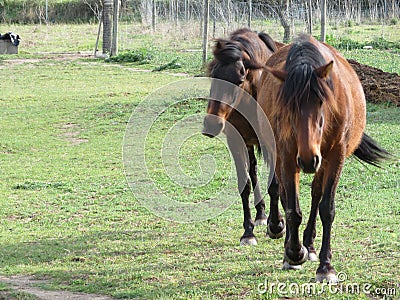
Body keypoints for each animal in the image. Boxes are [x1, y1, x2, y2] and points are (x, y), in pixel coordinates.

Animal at [203, 28, 284, 245]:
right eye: (212, 76)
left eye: (239, 79)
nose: (211, 124)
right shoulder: (236, 141)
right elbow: (244, 184)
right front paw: (248, 232)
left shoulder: (272, 143)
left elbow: (275, 184)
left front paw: (276, 226)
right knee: (254, 171)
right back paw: (261, 214)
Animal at [258, 34, 390, 282]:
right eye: (288, 105)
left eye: (321, 102)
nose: (308, 160)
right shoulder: (287, 156)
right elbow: (292, 209)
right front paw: (293, 253)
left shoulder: (335, 156)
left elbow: (326, 208)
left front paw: (325, 266)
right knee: (286, 195)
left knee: (316, 194)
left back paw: (309, 245)